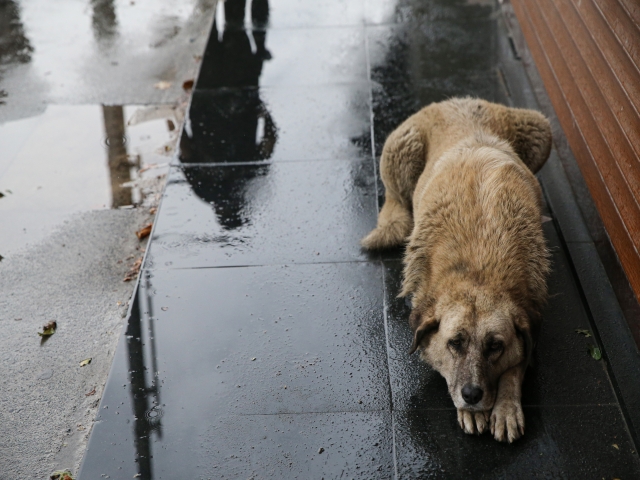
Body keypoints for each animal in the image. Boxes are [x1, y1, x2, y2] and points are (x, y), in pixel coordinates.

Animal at [362, 97, 552, 442]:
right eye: (455, 343)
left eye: (495, 346)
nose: (472, 395)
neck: (480, 268)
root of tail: (459, 100)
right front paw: (471, 411)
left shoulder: (531, 316)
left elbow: (519, 361)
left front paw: (506, 406)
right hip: (400, 151)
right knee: (395, 199)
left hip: (541, 130)